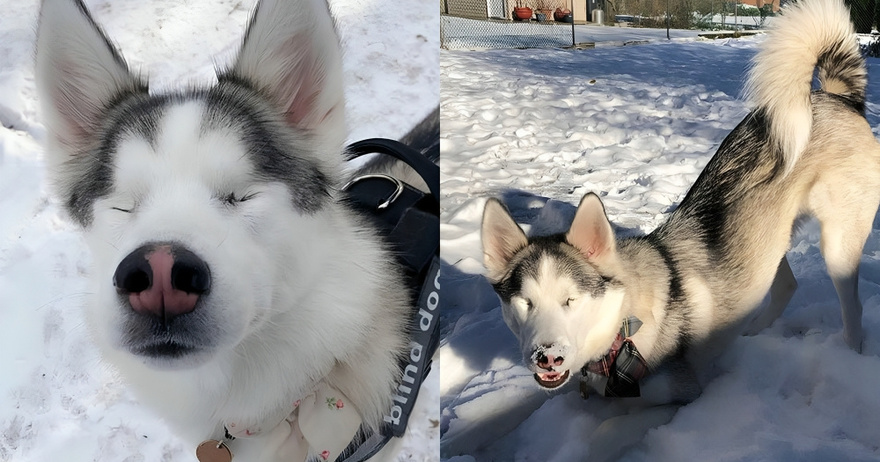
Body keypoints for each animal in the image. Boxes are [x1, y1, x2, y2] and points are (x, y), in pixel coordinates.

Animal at [482, 0, 880, 404]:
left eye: (571, 301)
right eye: (525, 303)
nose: (546, 357)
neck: (625, 323)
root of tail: (836, 98)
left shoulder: (680, 393)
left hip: (837, 245)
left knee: (852, 306)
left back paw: (849, 354)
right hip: (767, 238)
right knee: (785, 286)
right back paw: (753, 332)